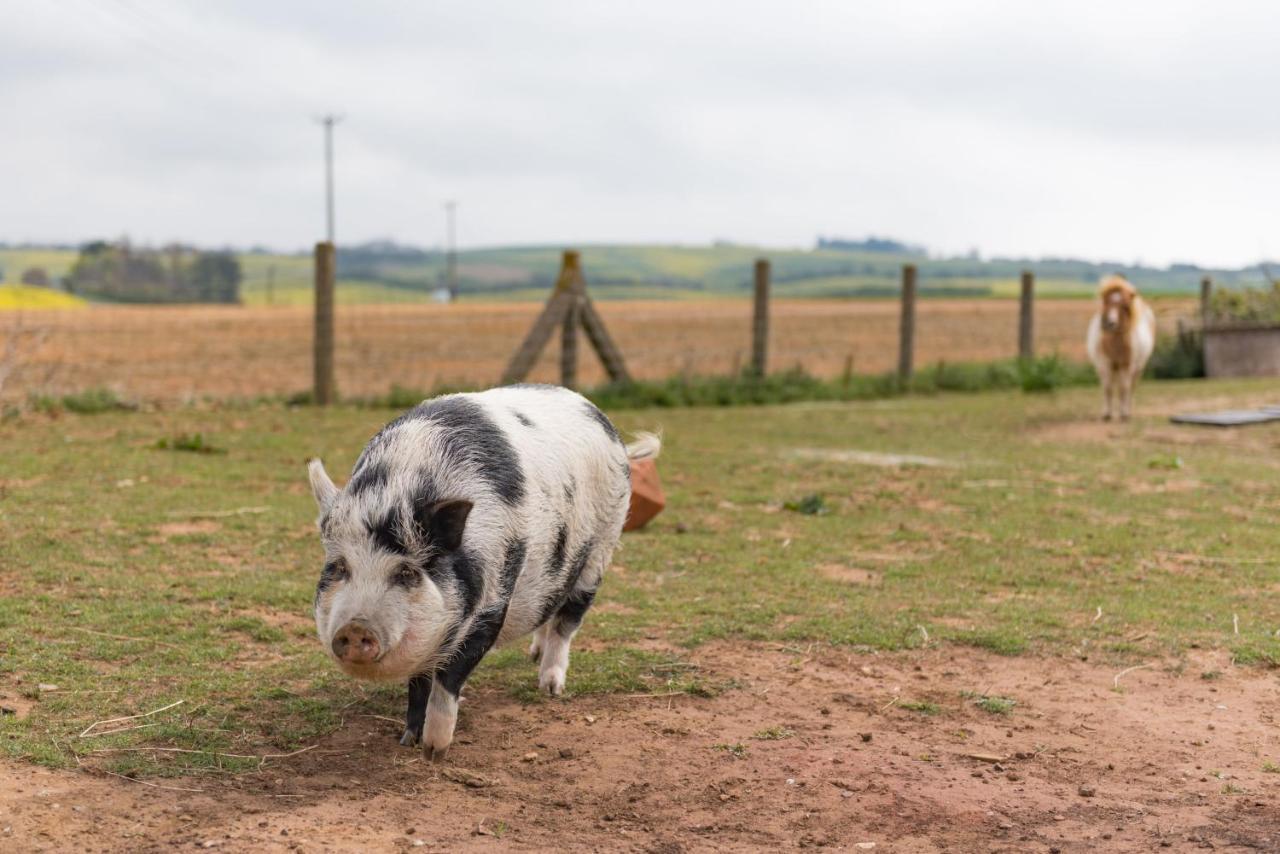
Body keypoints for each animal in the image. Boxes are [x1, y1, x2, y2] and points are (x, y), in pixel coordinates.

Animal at [303, 384, 655, 757]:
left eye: (406, 573)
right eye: (340, 568)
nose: (355, 628)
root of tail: (600, 417)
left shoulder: (494, 600)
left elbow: (450, 676)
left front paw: (434, 751)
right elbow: (419, 680)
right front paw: (408, 739)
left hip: (602, 546)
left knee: (568, 620)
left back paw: (550, 687)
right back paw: (534, 655)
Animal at [1085, 273, 1157, 419]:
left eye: (1123, 306)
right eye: (1106, 303)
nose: (1110, 323)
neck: (1115, 343)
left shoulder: (1126, 365)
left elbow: (1124, 388)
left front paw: (1124, 414)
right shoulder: (1105, 364)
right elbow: (1107, 388)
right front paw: (1107, 414)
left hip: (1137, 368)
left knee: (1130, 388)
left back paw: (1127, 410)